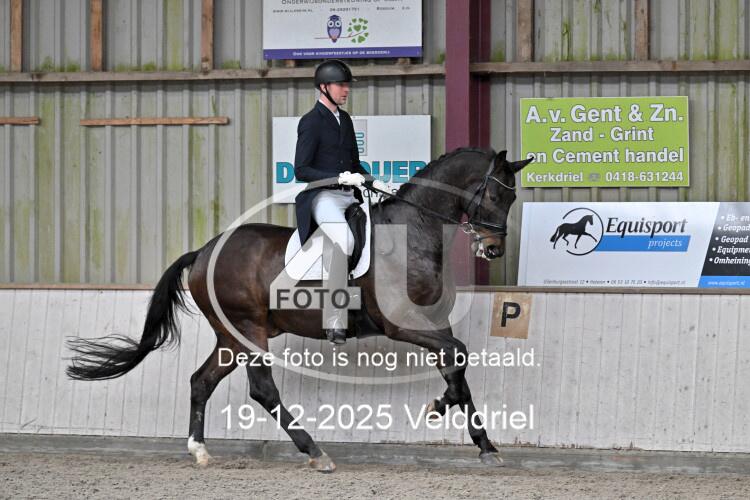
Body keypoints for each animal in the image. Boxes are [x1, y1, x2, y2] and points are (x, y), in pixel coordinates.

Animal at [66, 148, 533, 472]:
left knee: (202, 381)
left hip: (230, 337)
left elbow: (457, 365)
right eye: (494, 193)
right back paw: (315, 451)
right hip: (248, 330)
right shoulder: (401, 325)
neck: (412, 235)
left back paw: (199, 452)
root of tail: (204, 252)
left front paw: (484, 445)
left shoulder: (434, 322)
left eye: (511, 199)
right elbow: (459, 357)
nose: (492, 250)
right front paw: (438, 408)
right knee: (262, 390)